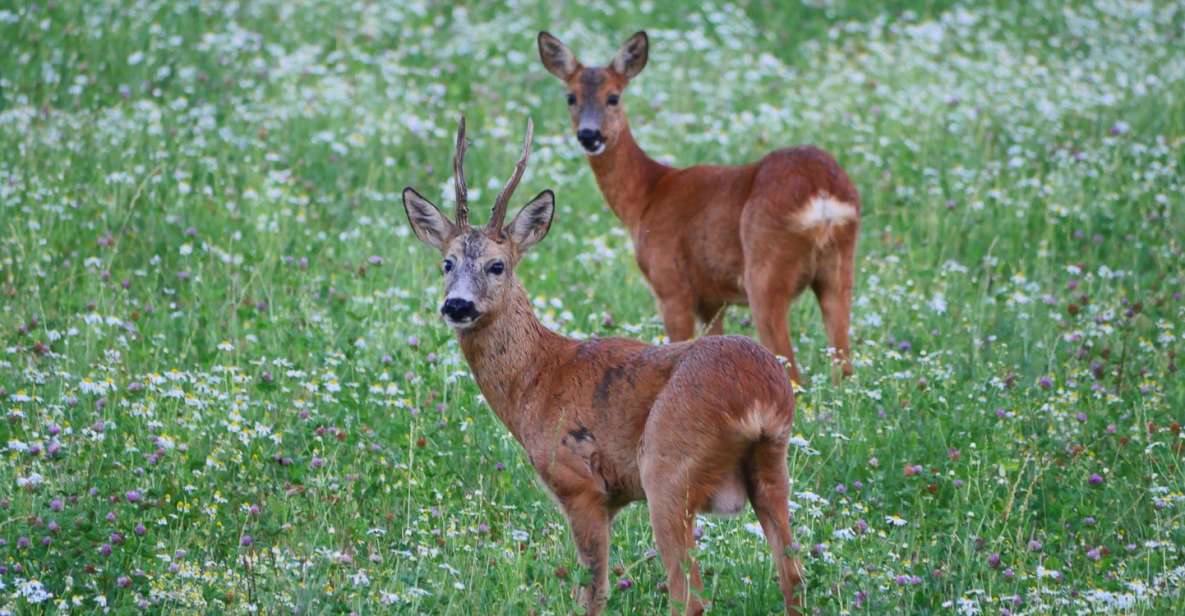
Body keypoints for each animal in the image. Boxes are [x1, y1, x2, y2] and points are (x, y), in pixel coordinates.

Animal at [402, 114, 801, 611]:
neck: (538, 378)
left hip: (668, 471)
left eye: (497, 266)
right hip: (773, 466)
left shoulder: (581, 485)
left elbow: (592, 592)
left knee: (688, 596)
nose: (457, 305)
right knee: (794, 579)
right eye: (447, 263)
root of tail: (760, 398)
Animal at [540, 31, 862, 383]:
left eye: (614, 97)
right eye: (570, 97)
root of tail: (821, 195)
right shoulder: (713, 298)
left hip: (765, 270)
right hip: (839, 268)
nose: (589, 135)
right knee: (844, 366)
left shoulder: (671, 283)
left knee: (792, 368)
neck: (648, 195)